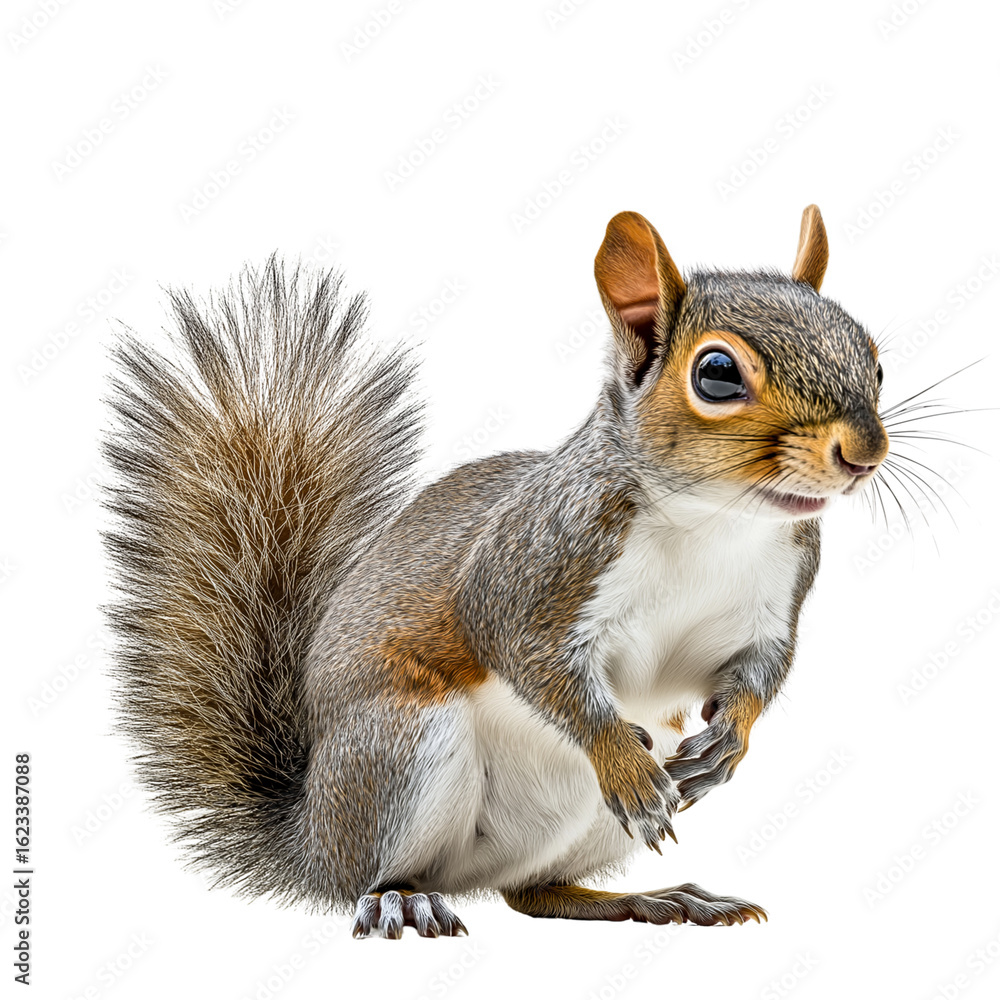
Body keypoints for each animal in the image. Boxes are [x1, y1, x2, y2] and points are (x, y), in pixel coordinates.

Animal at [104, 204, 888, 939]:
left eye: (875, 360)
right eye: (718, 374)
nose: (864, 452)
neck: (717, 522)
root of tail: (309, 837)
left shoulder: (774, 601)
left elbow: (758, 673)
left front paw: (730, 743)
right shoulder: (535, 566)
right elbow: (526, 655)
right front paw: (621, 761)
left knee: (533, 892)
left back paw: (657, 898)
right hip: (399, 748)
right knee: (367, 877)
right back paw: (399, 899)